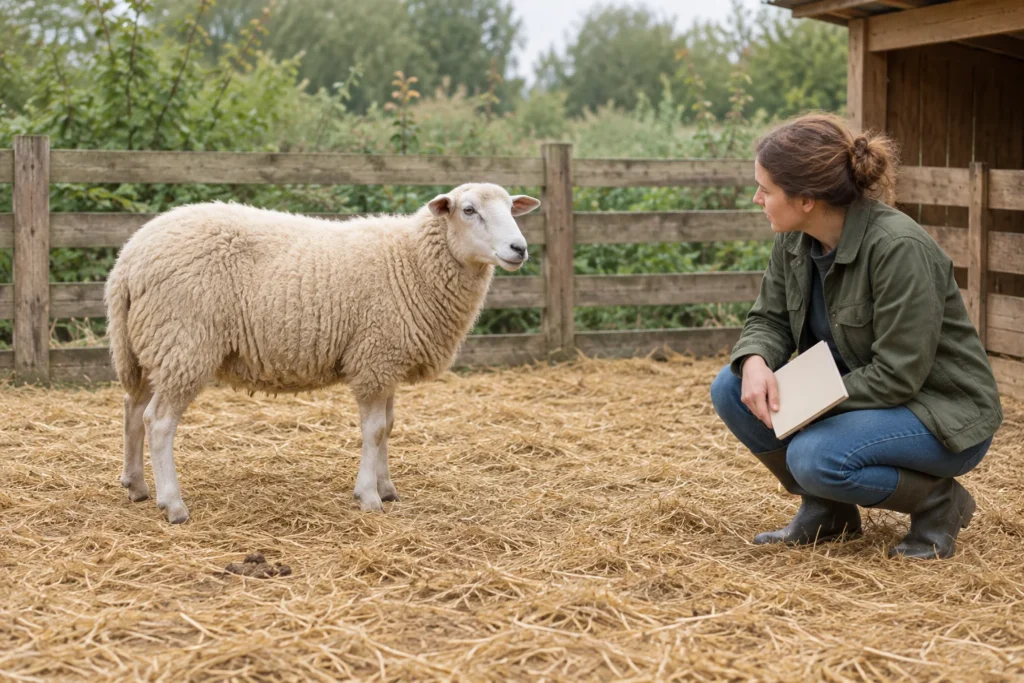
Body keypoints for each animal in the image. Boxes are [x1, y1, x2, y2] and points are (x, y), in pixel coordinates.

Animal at [104, 183, 541, 524]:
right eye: (469, 210)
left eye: (510, 208)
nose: (519, 248)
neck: (412, 260)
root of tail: (128, 259)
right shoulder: (373, 358)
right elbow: (374, 430)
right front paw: (369, 496)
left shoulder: (387, 361)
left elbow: (389, 426)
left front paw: (387, 487)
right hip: (184, 342)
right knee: (159, 422)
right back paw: (173, 504)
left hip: (150, 346)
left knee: (132, 410)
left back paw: (136, 486)